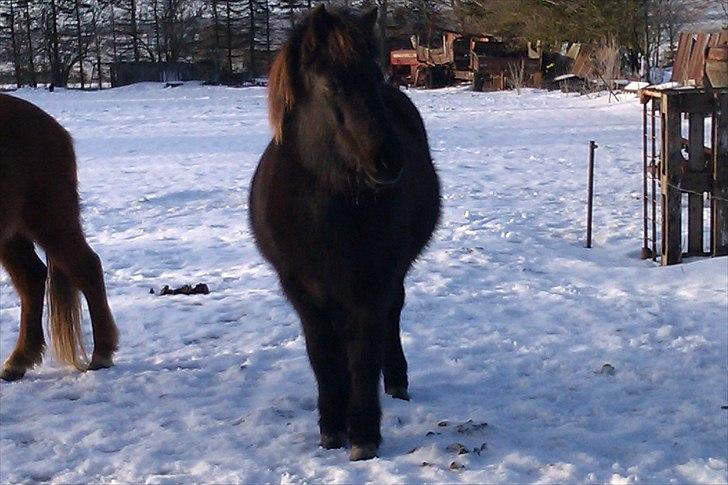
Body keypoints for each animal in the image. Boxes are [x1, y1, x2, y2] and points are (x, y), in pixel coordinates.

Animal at [0, 92, 118, 380]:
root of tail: (54, 127)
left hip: (50, 221)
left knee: (87, 268)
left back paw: (101, 354)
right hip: (12, 234)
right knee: (32, 278)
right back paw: (19, 360)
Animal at [247, 7, 440, 462]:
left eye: (375, 76)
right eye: (332, 84)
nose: (390, 160)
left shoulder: (372, 284)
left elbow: (363, 355)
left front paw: (364, 434)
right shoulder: (302, 290)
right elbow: (323, 356)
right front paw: (332, 428)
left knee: (390, 319)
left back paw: (396, 381)